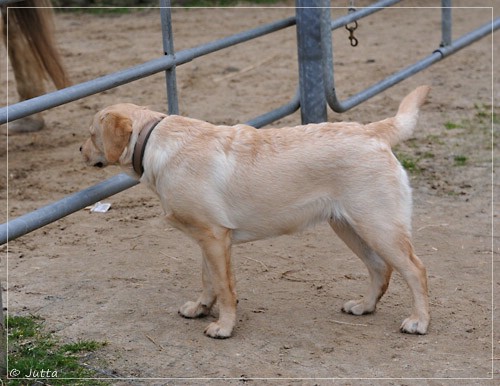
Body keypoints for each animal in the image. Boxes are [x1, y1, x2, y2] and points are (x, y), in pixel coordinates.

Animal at [81, 86, 430, 340]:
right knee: (379, 269)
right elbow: (208, 279)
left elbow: (225, 288)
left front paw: (224, 327)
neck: (155, 143)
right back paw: (364, 306)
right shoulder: (209, 239)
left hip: (379, 227)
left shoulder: (214, 237)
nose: (80, 150)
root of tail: (371, 132)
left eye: (92, 133)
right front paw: (200, 308)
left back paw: (418, 322)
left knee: (415, 269)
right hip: (349, 226)